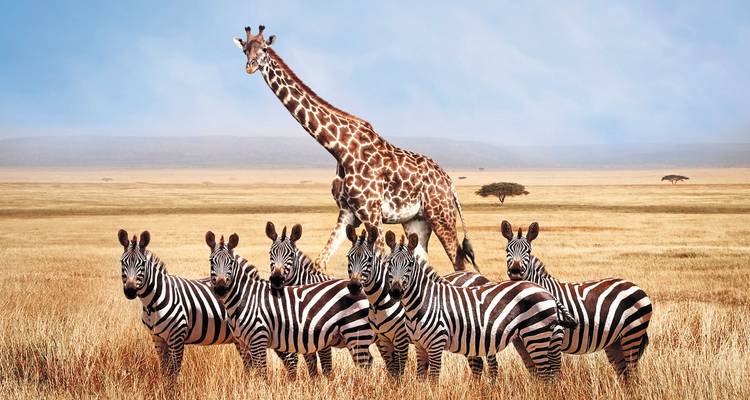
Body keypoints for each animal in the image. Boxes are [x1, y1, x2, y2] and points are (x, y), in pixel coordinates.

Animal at [233, 25, 478, 271]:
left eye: (264, 48)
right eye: (245, 49)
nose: (250, 66)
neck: (339, 148)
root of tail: (449, 183)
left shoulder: (371, 212)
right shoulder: (347, 213)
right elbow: (320, 262)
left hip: (441, 215)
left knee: (459, 262)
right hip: (416, 221)